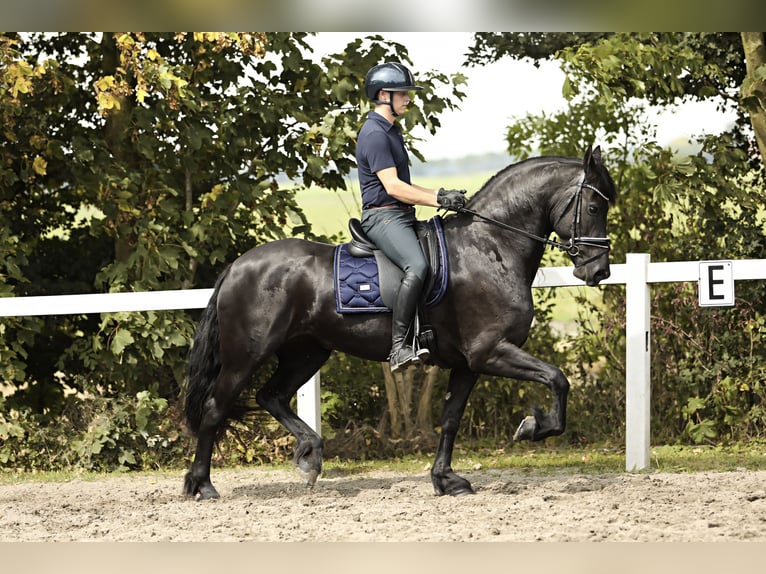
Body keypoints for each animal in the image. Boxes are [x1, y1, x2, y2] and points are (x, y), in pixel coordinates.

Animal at [184, 145, 616, 500]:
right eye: (595, 208)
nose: (598, 271)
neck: (489, 246)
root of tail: (238, 265)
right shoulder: (491, 352)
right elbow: (558, 379)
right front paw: (532, 426)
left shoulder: (467, 364)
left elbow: (451, 419)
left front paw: (446, 480)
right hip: (247, 355)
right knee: (215, 407)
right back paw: (201, 484)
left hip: (306, 353)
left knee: (271, 396)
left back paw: (310, 457)